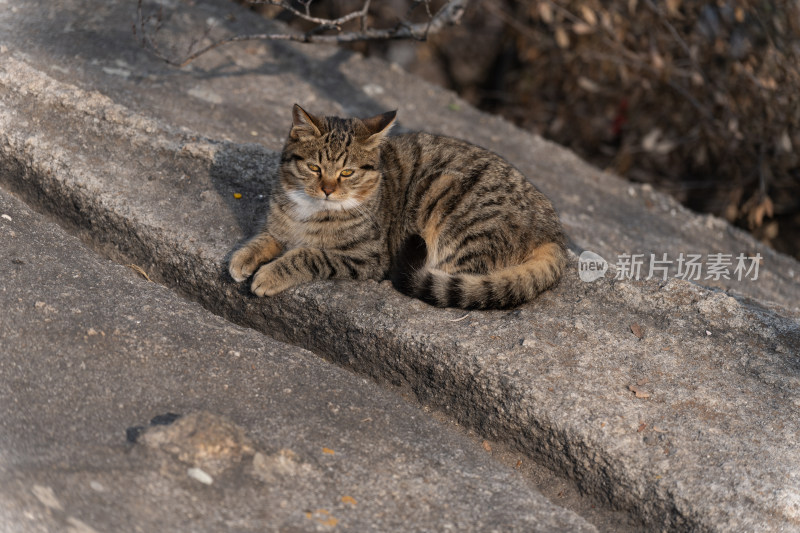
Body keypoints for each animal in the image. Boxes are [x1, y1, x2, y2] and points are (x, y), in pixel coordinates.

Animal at [228, 103, 568, 308]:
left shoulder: (367, 256)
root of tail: (555, 234)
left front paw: (270, 274)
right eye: (314, 168)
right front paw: (243, 258)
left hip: (454, 211)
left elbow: (308, 254)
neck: (309, 208)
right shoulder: (278, 225)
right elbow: (265, 237)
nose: (327, 189)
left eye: (347, 172)